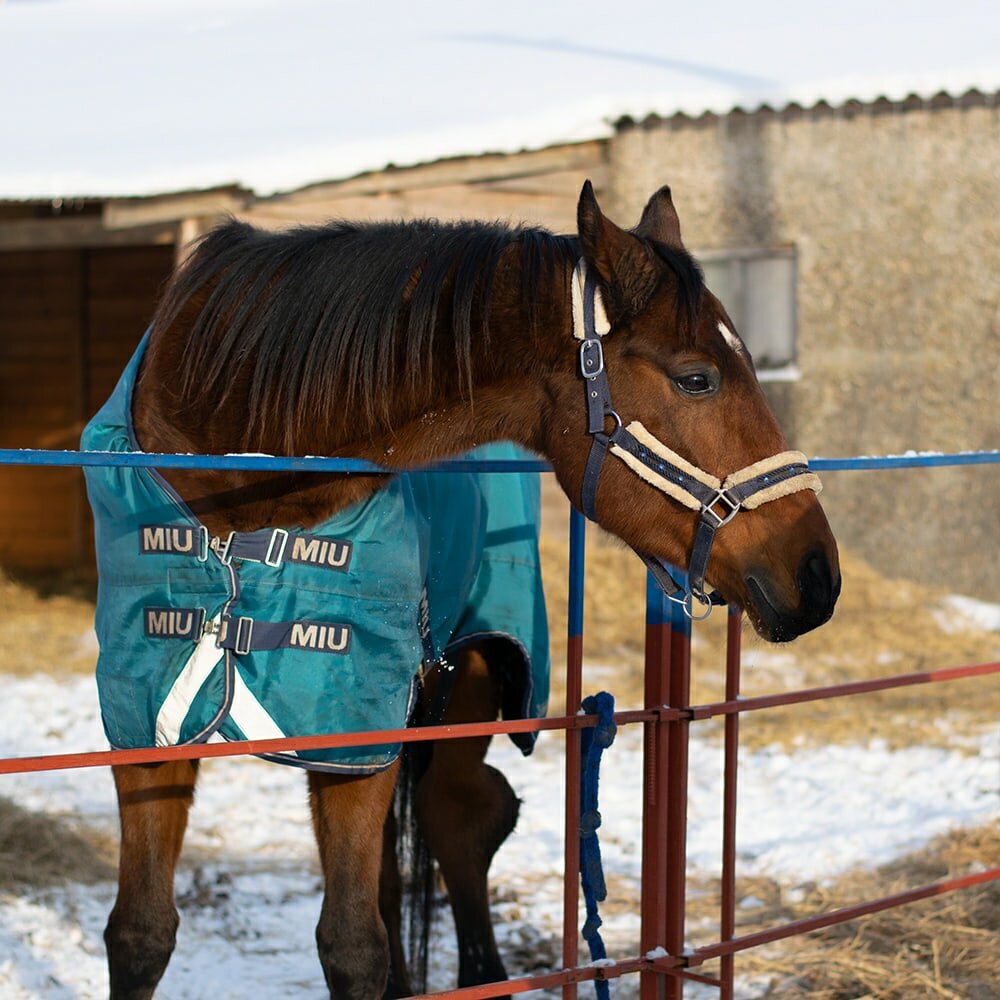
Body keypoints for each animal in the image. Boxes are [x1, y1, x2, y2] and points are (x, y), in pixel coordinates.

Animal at [84, 182, 836, 1000]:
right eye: (697, 378)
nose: (817, 574)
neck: (244, 472)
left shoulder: (356, 727)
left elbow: (352, 944)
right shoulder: (149, 719)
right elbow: (141, 933)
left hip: (471, 675)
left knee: (461, 819)